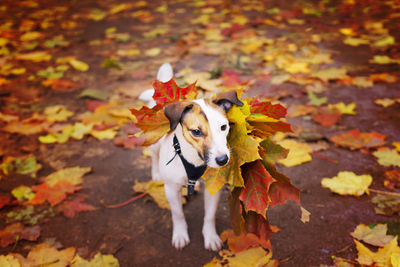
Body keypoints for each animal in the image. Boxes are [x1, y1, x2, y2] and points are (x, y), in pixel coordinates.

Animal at [141, 63, 242, 252]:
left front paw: (210, 236)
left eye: (224, 127)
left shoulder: (212, 187)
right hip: (154, 142)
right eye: (196, 131)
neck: (194, 160)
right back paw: (156, 173)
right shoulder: (171, 189)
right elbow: (178, 214)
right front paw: (180, 234)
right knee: (154, 155)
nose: (223, 160)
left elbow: (209, 215)